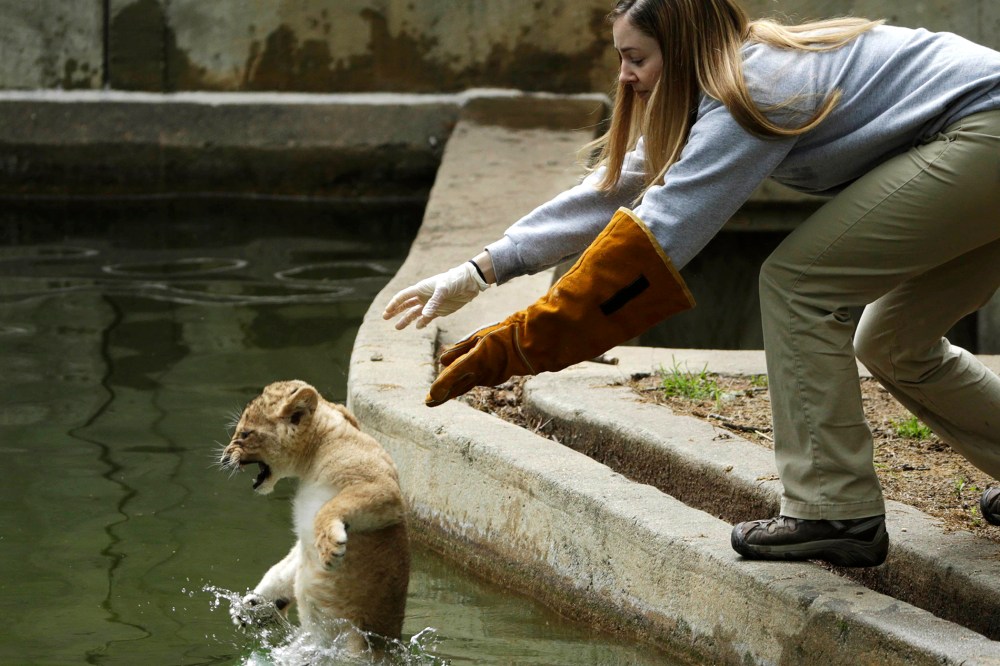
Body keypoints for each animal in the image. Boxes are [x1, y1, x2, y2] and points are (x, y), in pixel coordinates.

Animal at [218, 380, 410, 651]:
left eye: (245, 434)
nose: (224, 457)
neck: (313, 458)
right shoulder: (302, 541)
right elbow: (283, 568)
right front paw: (252, 606)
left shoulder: (385, 490)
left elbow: (330, 508)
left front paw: (331, 549)